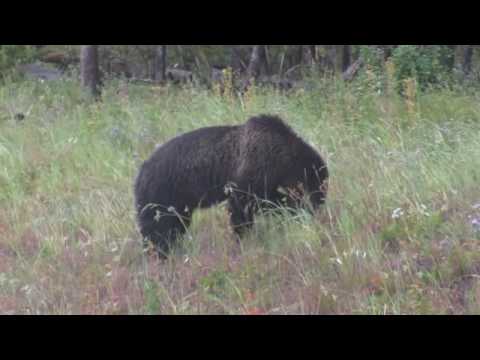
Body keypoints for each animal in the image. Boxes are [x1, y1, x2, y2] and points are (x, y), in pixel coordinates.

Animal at [135, 114, 330, 258]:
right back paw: (157, 252)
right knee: (156, 226)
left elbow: (271, 202)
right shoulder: (252, 173)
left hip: (179, 203)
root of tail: (141, 170)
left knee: (175, 224)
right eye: (318, 187)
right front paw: (242, 238)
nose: (318, 209)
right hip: (161, 193)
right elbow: (241, 208)